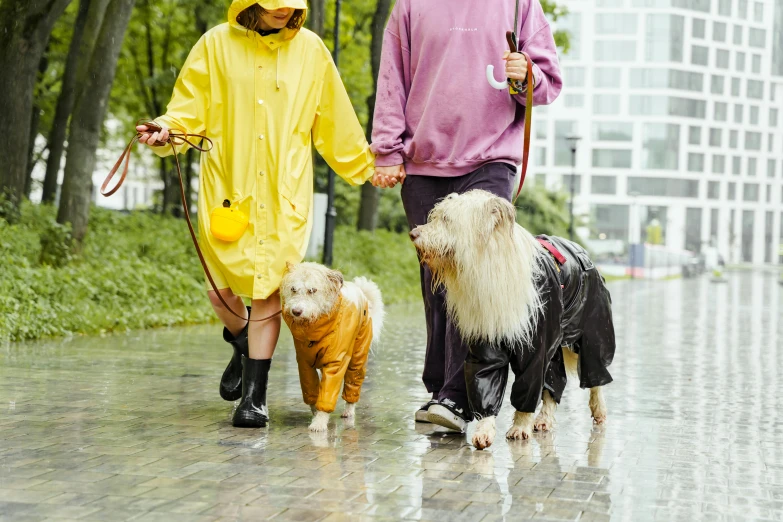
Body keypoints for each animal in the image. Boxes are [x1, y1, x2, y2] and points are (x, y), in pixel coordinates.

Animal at [280, 260, 384, 430]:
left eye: (312, 290)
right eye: (293, 289)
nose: (296, 311)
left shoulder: (336, 362)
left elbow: (328, 391)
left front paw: (319, 422)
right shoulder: (304, 364)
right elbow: (312, 391)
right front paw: (317, 414)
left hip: (358, 357)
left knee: (352, 384)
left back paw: (349, 410)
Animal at [408, 189, 616, 448]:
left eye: (447, 220)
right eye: (435, 217)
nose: (413, 234)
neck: (488, 265)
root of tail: (580, 249)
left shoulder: (536, 344)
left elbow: (528, 385)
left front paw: (519, 426)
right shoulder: (485, 336)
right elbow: (484, 379)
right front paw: (485, 430)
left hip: (593, 327)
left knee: (595, 372)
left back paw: (599, 409)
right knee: (554, 381)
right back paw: (544, 419)